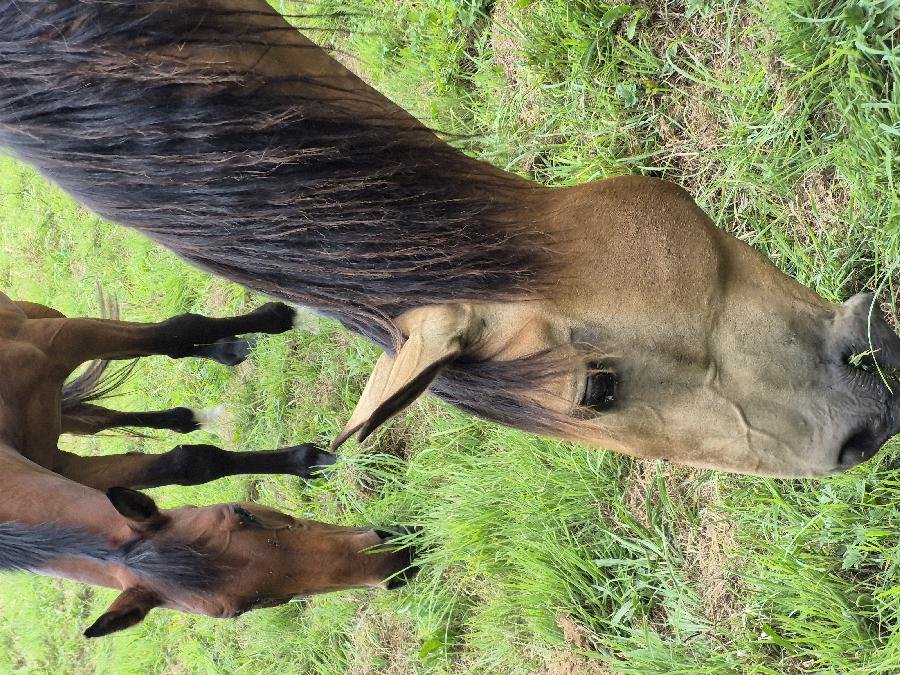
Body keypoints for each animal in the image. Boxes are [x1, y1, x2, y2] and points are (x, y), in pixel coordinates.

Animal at [0, 292, 416, 636]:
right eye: (247, 609)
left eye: (243, 512)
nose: (396, 559)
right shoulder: (67, 469)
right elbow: (190, 463)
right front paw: (310, 461)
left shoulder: (63, 335)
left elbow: (180, 332)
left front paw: (285, 316)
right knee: (101, 416)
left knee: (145, 372)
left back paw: (234, 349)